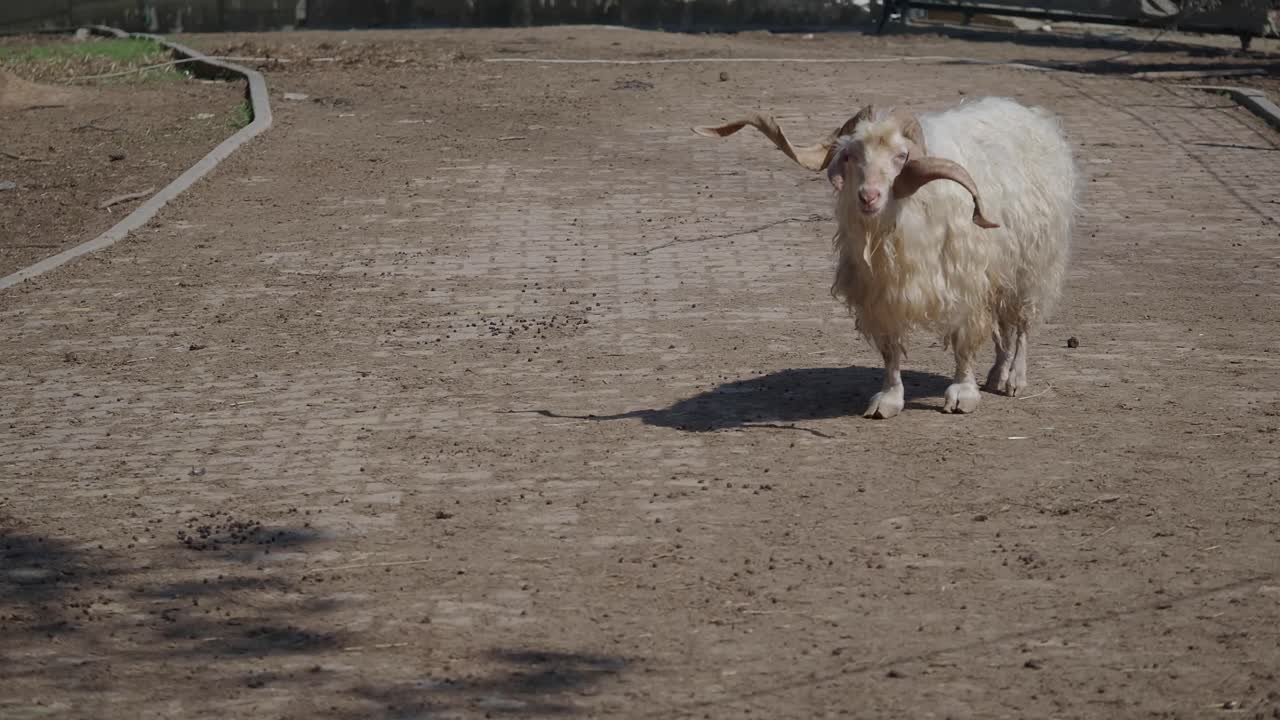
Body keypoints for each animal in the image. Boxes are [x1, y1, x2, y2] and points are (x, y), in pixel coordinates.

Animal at [694, 97, 1076, 418]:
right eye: (850, 156)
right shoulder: (881, 292)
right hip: (1003, 271)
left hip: (1034, 264)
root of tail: (1031, 114)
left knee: (1022, 323)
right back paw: (997, 374)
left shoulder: (964, 281)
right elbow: (890, 348)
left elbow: (964, 341)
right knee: (1003, 325)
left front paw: (962, 393)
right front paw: (889, 400)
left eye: (900, 157)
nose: (868, 196)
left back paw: (1014, 379)